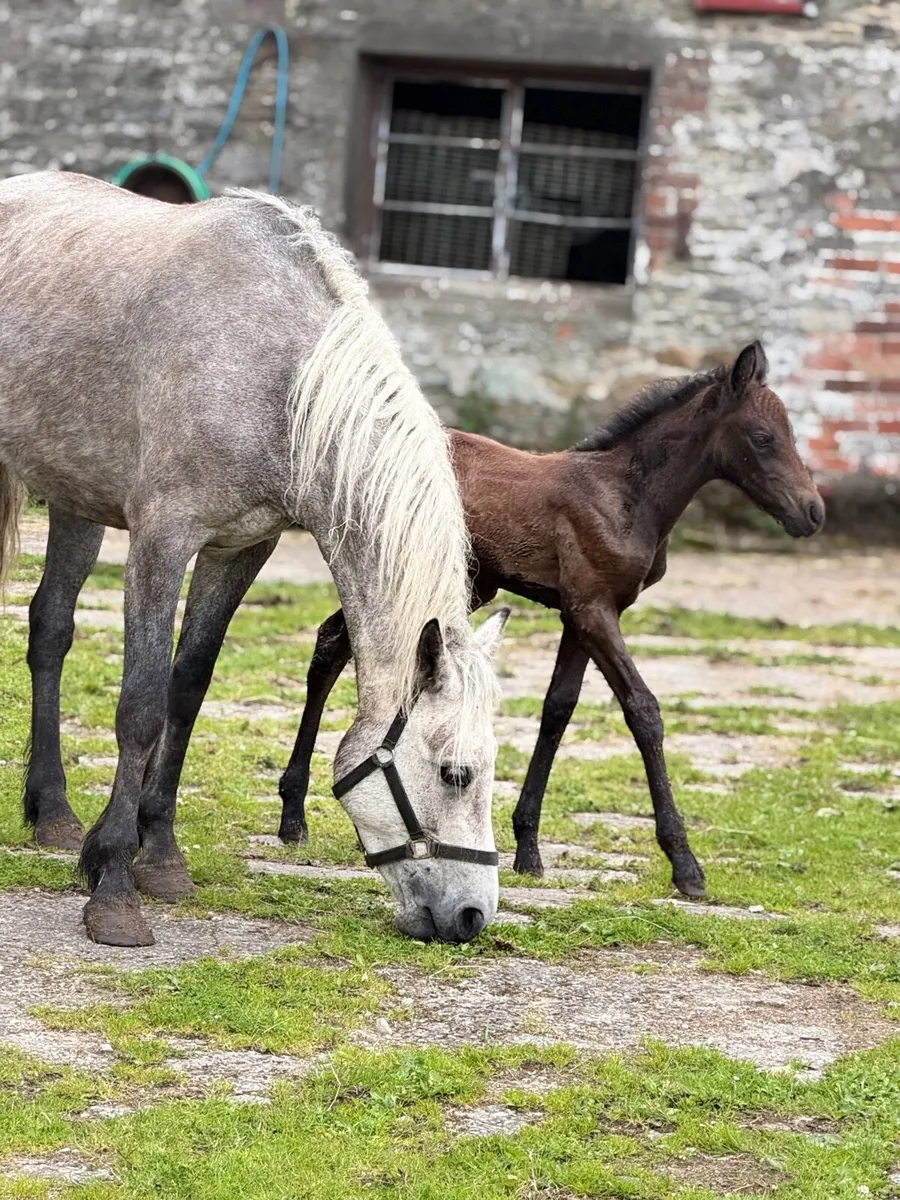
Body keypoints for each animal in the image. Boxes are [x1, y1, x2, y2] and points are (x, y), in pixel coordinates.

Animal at [0, 171, 507, 948]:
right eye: (456, 774)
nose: (473, 916)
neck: (278, 376)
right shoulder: (162, 540)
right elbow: (140, 706)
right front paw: (113, 884)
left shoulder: (240, 550)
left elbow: (186, 689)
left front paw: (159, 856)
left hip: (73, 497)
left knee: (51, 627)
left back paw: (51, 812)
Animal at [275, 342, 825, 896]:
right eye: (763, 437)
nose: (813, 513)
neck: (625, 495)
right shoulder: (594, 610)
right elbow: (643, 710)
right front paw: (685, 864)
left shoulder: (582, 612)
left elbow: (558, 707)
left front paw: (529, 848)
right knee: (334, 644)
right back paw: (294, 816)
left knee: (337, 642)